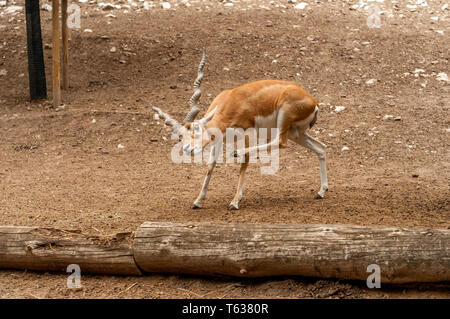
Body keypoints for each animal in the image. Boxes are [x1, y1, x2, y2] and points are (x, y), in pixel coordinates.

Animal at [151, 49, 326, 210]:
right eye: (181, 136)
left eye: (196, 128)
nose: (188, 149)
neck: (229, 104)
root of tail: (313, 102)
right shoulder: (218, 140)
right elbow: (210, 166)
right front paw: (198, 201)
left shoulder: (248, 133)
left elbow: (244, 163)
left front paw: (234, 202)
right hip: (295, 133)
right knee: (321, 147)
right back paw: (321, 192)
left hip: (284, 120)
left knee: (280, 143)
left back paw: (237, 153)